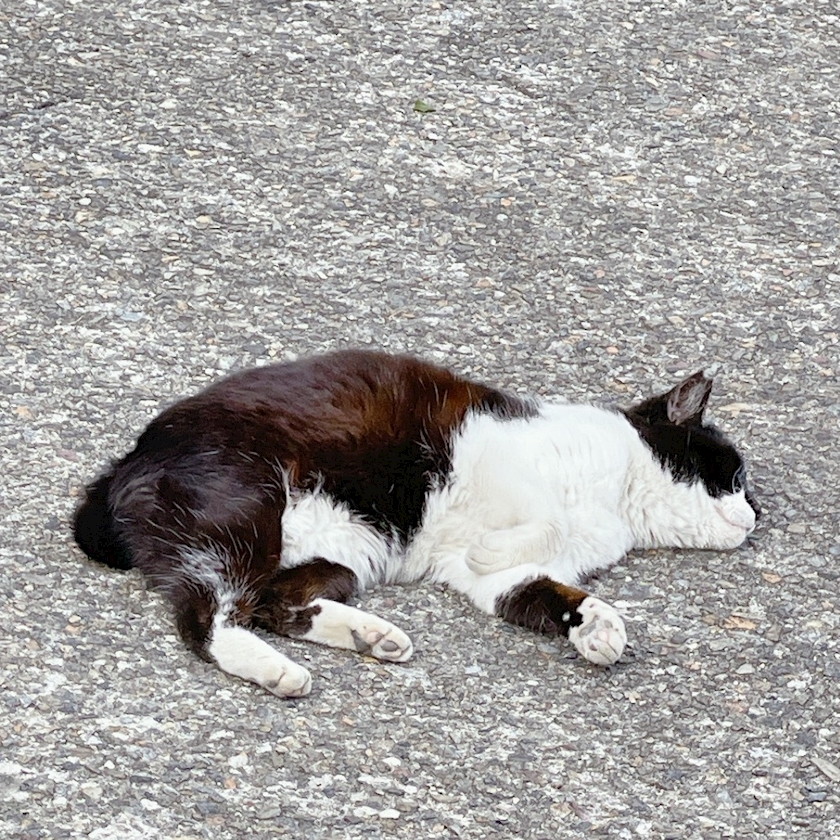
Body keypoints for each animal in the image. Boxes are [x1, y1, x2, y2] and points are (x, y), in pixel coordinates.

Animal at [73, 349, 760, 698]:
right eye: (734, 474)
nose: (757, 515)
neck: (620, 507)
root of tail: (124, 465)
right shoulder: (502, 461)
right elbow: (537, 524)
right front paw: (495, 546)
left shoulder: (506, 579)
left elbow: (543, 587)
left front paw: (597, 628)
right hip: (248, 507)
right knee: (206, 616)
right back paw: (277, 670)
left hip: (344, 551)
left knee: (273, 603)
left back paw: (369, 636)